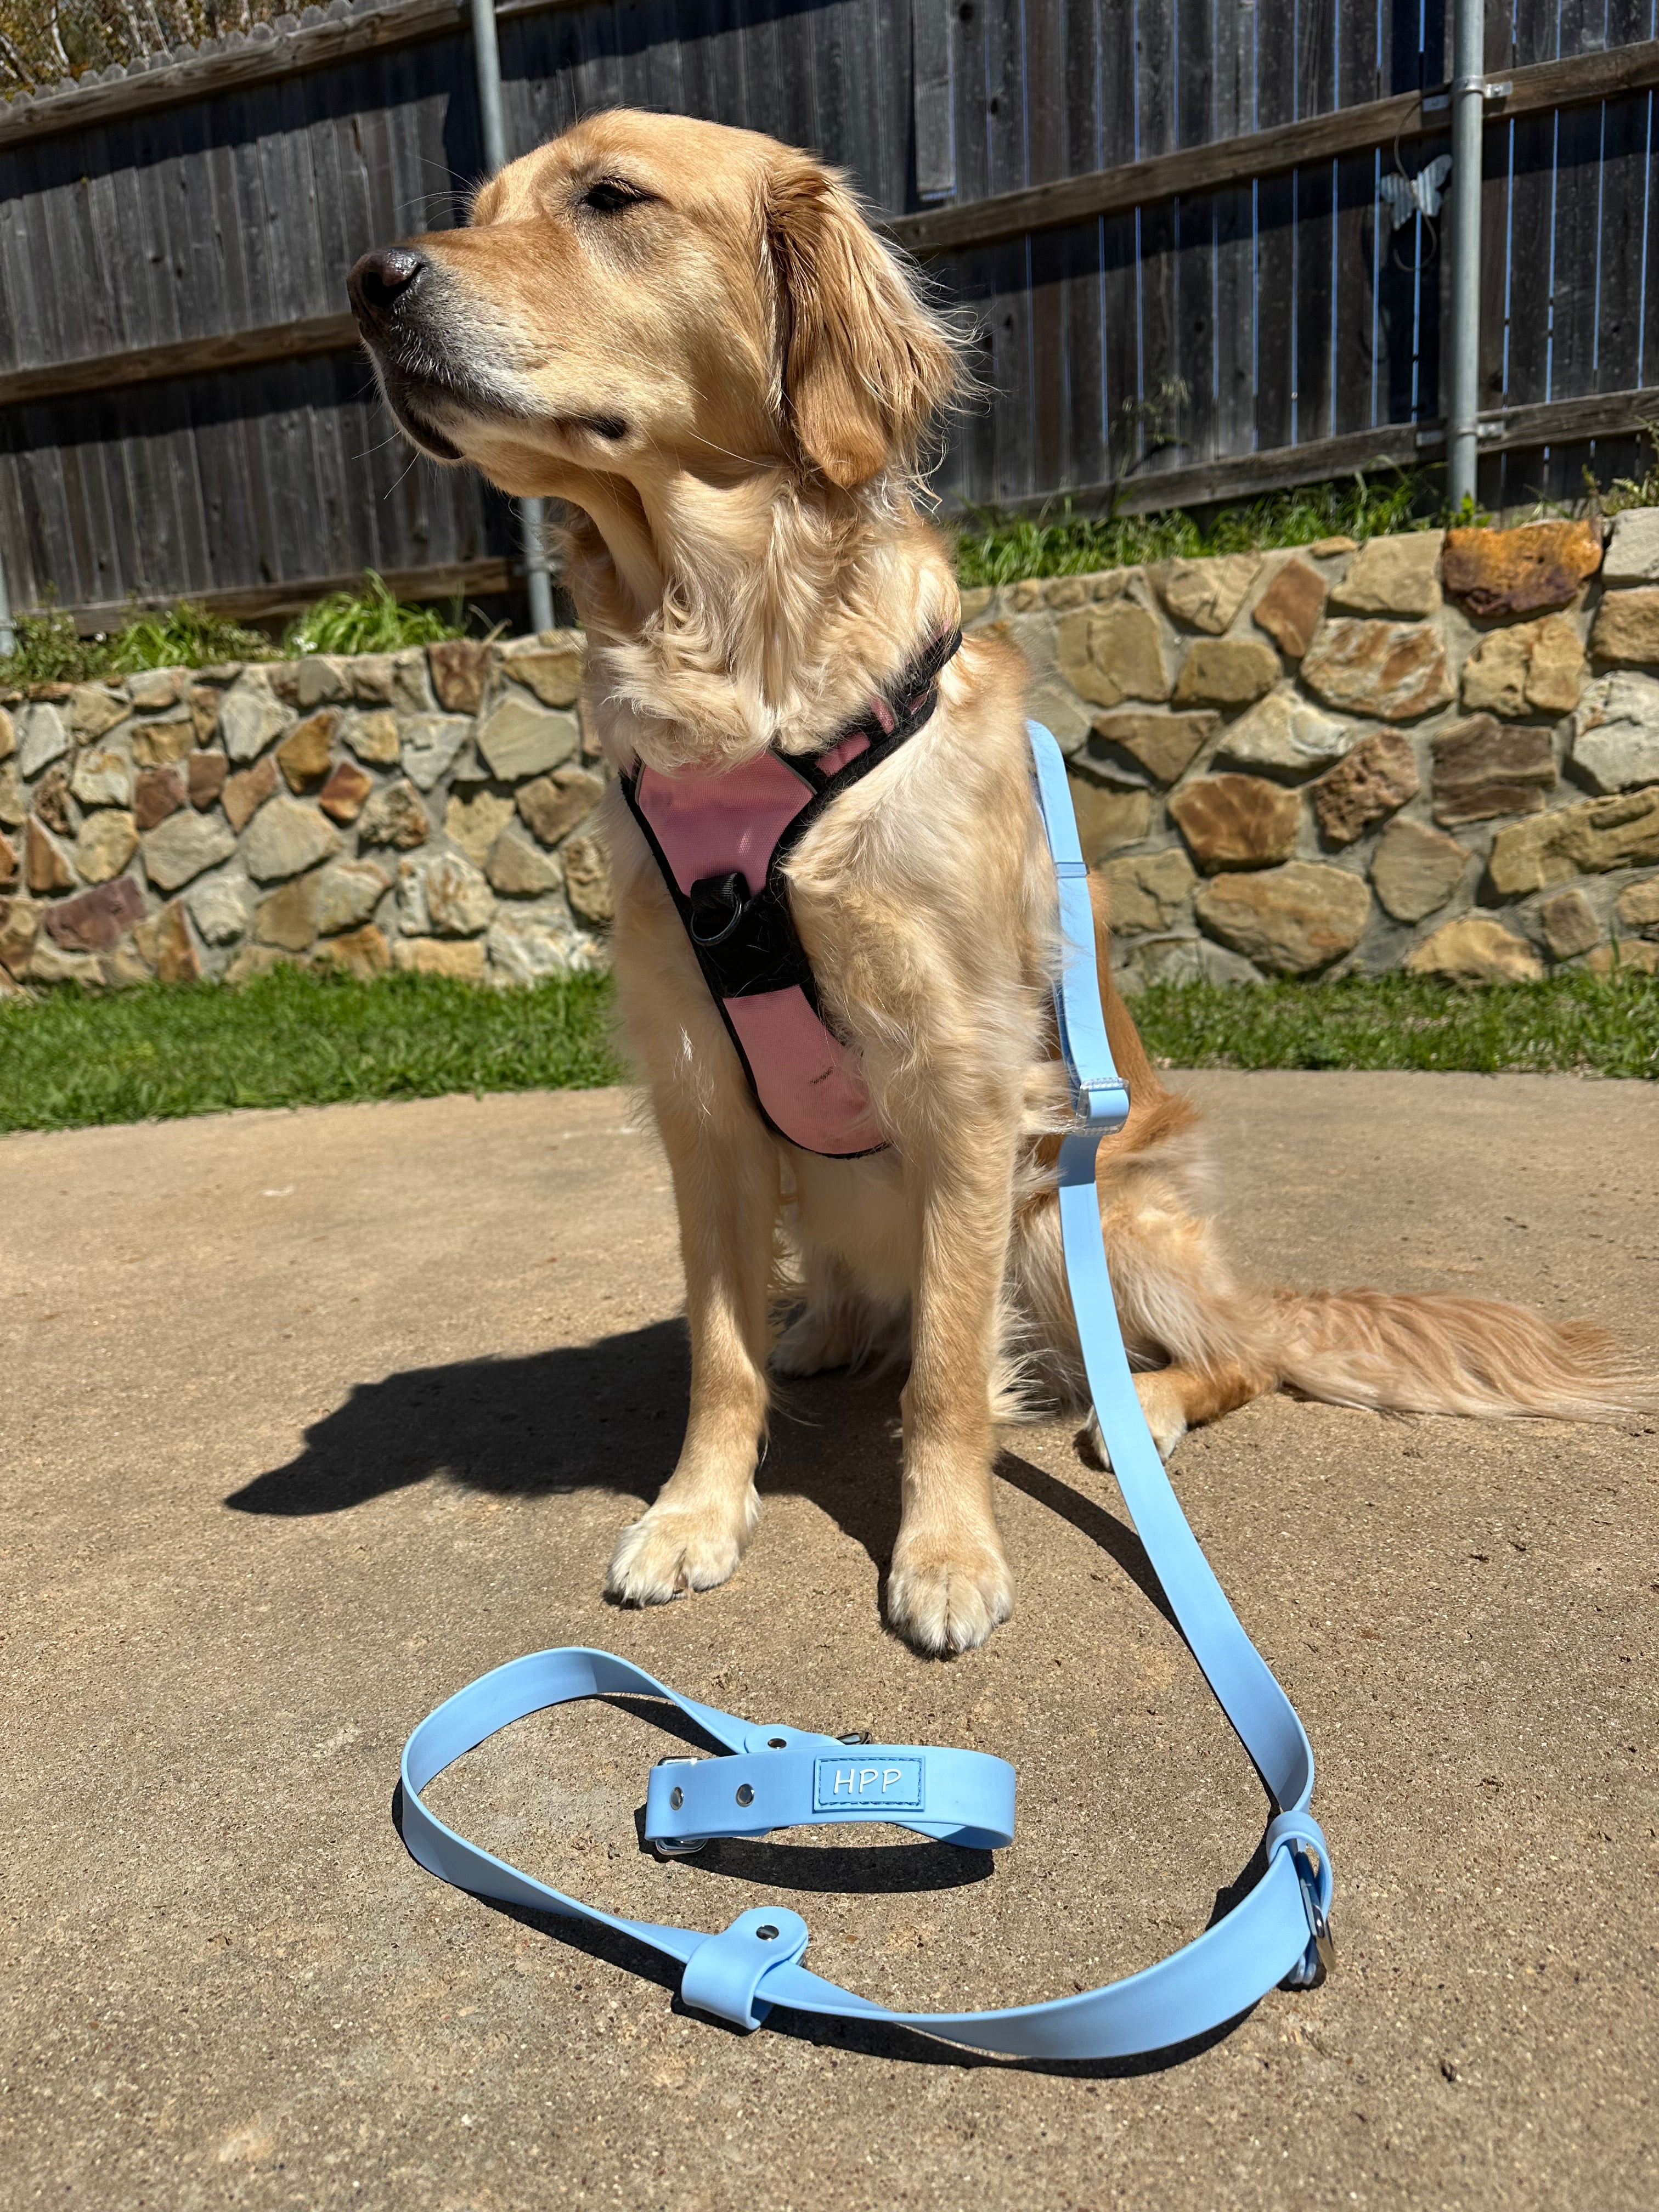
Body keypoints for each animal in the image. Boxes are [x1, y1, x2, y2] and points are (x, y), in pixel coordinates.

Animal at [352, 112, 1654, 1654]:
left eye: (610, 198)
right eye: (481, 204)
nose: (371, 282)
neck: (741, 669)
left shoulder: (967, 1089)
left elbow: (950, 1378)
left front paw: (947, 1554)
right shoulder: (702, 1098)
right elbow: (720, 1353)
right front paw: (695, 1514)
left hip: (1088, 1220)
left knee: (1238, 1354)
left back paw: (1145, 1406)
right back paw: (827, 1329)